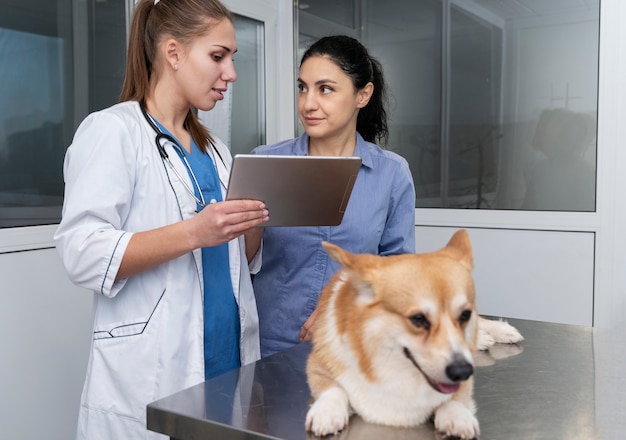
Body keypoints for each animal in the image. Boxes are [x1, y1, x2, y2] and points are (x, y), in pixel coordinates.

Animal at [304, 229, 520, 438]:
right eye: (418, 319)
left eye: (465, 315)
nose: (463, 371)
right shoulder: (317, 364)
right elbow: (333, 388)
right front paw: (326, 412)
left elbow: (455, 398)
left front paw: (458, 417)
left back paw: (500, 332)